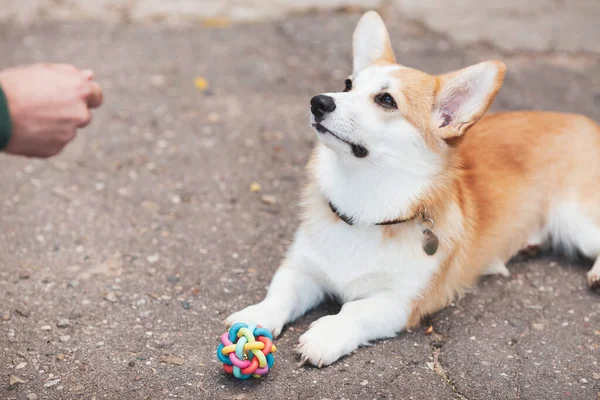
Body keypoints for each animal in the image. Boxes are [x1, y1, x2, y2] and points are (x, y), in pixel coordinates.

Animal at [225, 10, 600, 368]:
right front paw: (254, 317)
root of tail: (590, 124)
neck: (364, 201)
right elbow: (280, 294)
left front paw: (325, 335)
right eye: (347, 85)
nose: (318, 101)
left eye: (386, 100)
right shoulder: (302, 268)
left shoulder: (400, 302)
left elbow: (355, 312)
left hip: (575, 219)